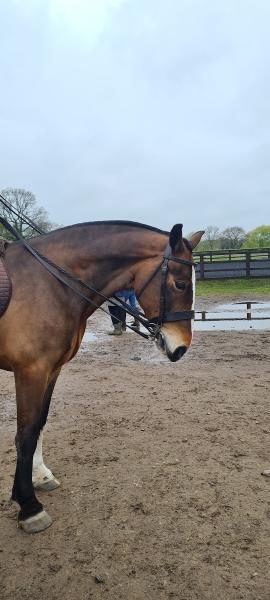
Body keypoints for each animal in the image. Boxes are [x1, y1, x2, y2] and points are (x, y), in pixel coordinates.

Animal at [0, 223, 204, 532]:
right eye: (180, 284)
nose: (180, 348)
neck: (49, 284)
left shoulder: (51, 370)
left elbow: (39, 424)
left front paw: (41, 476)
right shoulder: (31, 371)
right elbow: (25, 432)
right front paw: (29, 507)